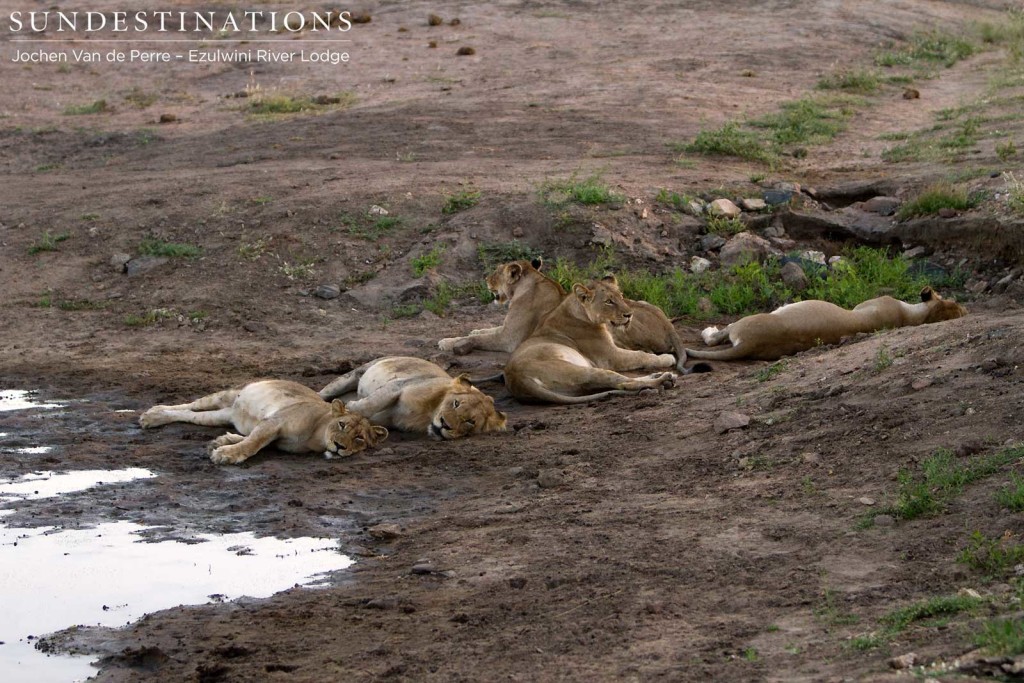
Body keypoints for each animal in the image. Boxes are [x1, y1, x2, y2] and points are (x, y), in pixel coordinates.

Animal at [140, 378, 387, 464]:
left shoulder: (274, 435)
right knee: (190, 404)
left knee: (190, 415)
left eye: (359, 438)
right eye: (342, 425)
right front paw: (227, 454)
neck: (317, 436)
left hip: (218, 416)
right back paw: (152, 415)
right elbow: (253, 443)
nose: (339, 446)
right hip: (225, 395)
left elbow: (252, 439)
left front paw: (221, 443)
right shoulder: (275, 422)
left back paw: (156, 416)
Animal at [319, 356, 507, 440]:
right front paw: (350, 408)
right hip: (353, 376)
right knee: (324, 393)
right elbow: (371, 404)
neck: (428, 414)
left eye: (470, 422)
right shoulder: (398, 386)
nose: (445, 424)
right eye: (456, 403)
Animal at [436, 258, 700, 374]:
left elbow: (481, 338)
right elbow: (483, 330)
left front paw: (447, 342)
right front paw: (468, 332)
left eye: (495, 272)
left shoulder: (510, 338)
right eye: (610, 299)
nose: (485, 279)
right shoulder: (506, 330)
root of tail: (669, 326)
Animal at [503, 276, 679, 405]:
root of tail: (519, 381)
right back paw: (664, 379)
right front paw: (666, 358)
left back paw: (657, 376)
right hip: (583, 371)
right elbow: (640, 355)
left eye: (621, 297)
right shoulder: (611, 357)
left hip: (578, 387)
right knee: (623, 383)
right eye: (609, 301)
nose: (629, 315)